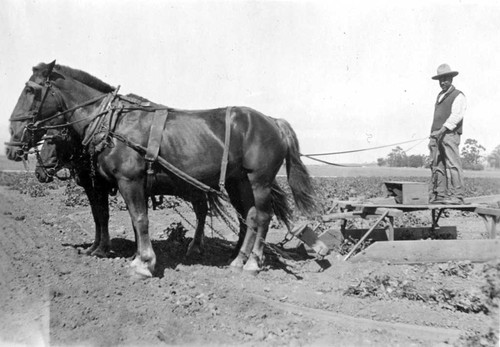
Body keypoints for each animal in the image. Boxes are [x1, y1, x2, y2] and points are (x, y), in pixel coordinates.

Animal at [6, 60, 316, 278]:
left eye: (31, 90)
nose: (12, 142)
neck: (113, 124)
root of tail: (273, 121)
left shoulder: (128, 180)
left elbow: (138, 219)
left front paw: (143, 264)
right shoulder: (116, 185)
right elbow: (120, 219)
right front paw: (123, 254)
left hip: (259, 181)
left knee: (262, 217)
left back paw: (251, 263)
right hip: (238, 182)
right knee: (247, 217)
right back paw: (237, 260)